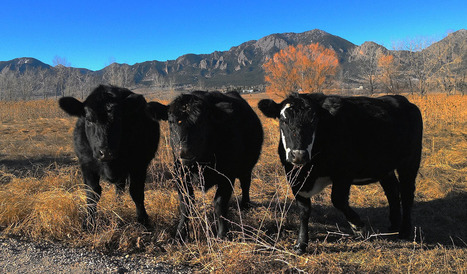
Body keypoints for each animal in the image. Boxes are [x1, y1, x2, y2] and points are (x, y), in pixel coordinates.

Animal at [59, 84, 164, 228]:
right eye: (89, 120)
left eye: (119, 119)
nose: (106, 152)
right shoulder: (86, 164)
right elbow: (92, 193)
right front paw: (89, 222)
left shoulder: (139, 164)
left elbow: (136, 192)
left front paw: (143, 221)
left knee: (121, 187)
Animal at [153, 91, 266, 239]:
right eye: (171, 121)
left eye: (201, 122)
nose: (184, 151)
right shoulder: (180, 175)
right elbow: (185, 204)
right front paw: (180, 233)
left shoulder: (227, 176)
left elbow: (219, 204)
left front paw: (222, 234)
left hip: (247, 166)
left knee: (245, 183)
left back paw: (245, 204)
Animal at [260, 92, 424, 255]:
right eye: (283, 120)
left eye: (314, 121)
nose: (299, 155)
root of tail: (402, 100)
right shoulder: (295, 179)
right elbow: (304, 211)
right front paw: (301, 244)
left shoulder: (344, 173)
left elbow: (338, 200)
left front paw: (358, 227)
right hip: (384, 167)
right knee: (392, 190)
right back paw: (394, 226)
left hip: (410, 161)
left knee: (407, 193)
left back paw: (404, 230)